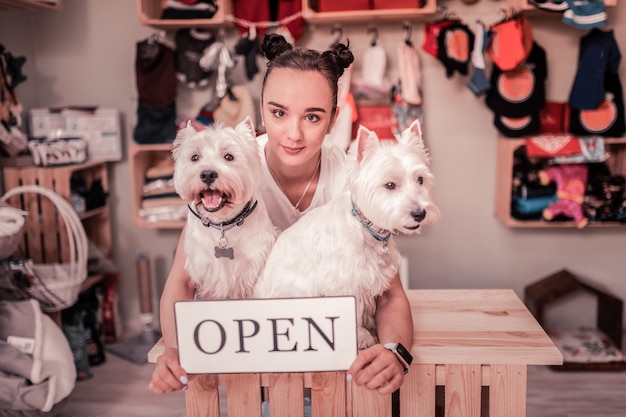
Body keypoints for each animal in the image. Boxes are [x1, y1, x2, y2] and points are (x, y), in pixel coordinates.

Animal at [172, 117, 276, 300]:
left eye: (229, 157)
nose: (207, 174)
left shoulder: (251, 265)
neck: (223, 224)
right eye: (194, 157)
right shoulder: (204, 269)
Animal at [254, 119, 438, 348]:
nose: (420, 213)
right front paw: (362, 337)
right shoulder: (345, 283)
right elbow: (354, 312)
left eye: (420, 179)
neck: (365, 226)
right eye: (390, 185)